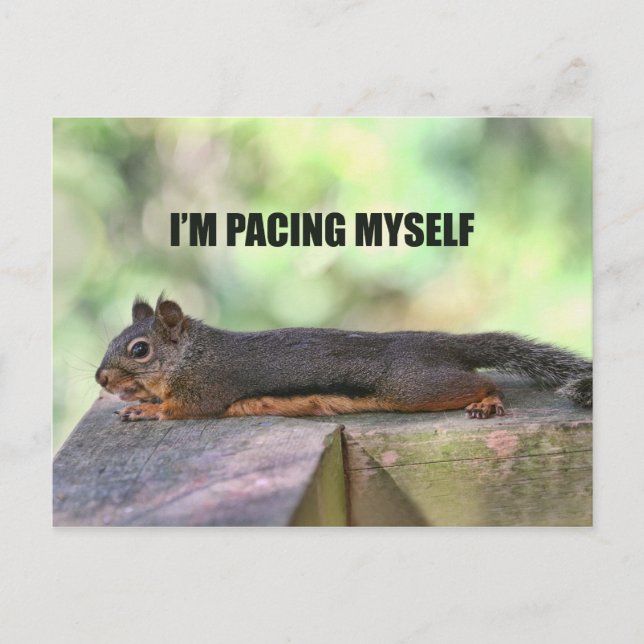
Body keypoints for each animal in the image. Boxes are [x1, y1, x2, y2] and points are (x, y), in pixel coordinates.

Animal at [95, 295, 592, 422]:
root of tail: (435, 342)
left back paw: (488, 401)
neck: (191, 355)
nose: (101, 379)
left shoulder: (207, 387)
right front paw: (138, 401)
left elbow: (182, 410)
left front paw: (145, 409)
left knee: (485, 382)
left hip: (416, 388)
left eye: (139, 350)